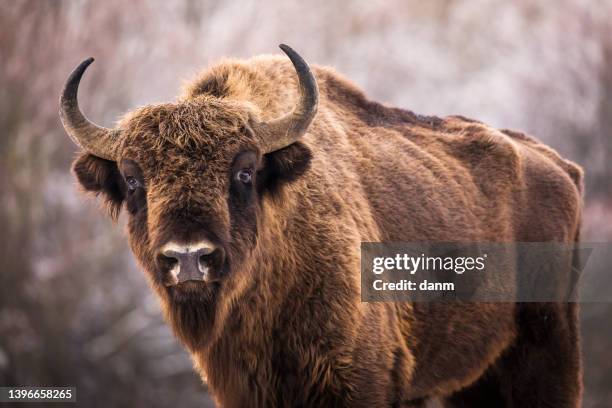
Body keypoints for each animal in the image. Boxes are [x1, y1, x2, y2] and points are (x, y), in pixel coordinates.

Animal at [61, 45, 584, 408]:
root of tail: (561, 167)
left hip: (547, 356)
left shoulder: (360, 382)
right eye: (132, 179)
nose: (189, 257)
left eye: (245, 171)